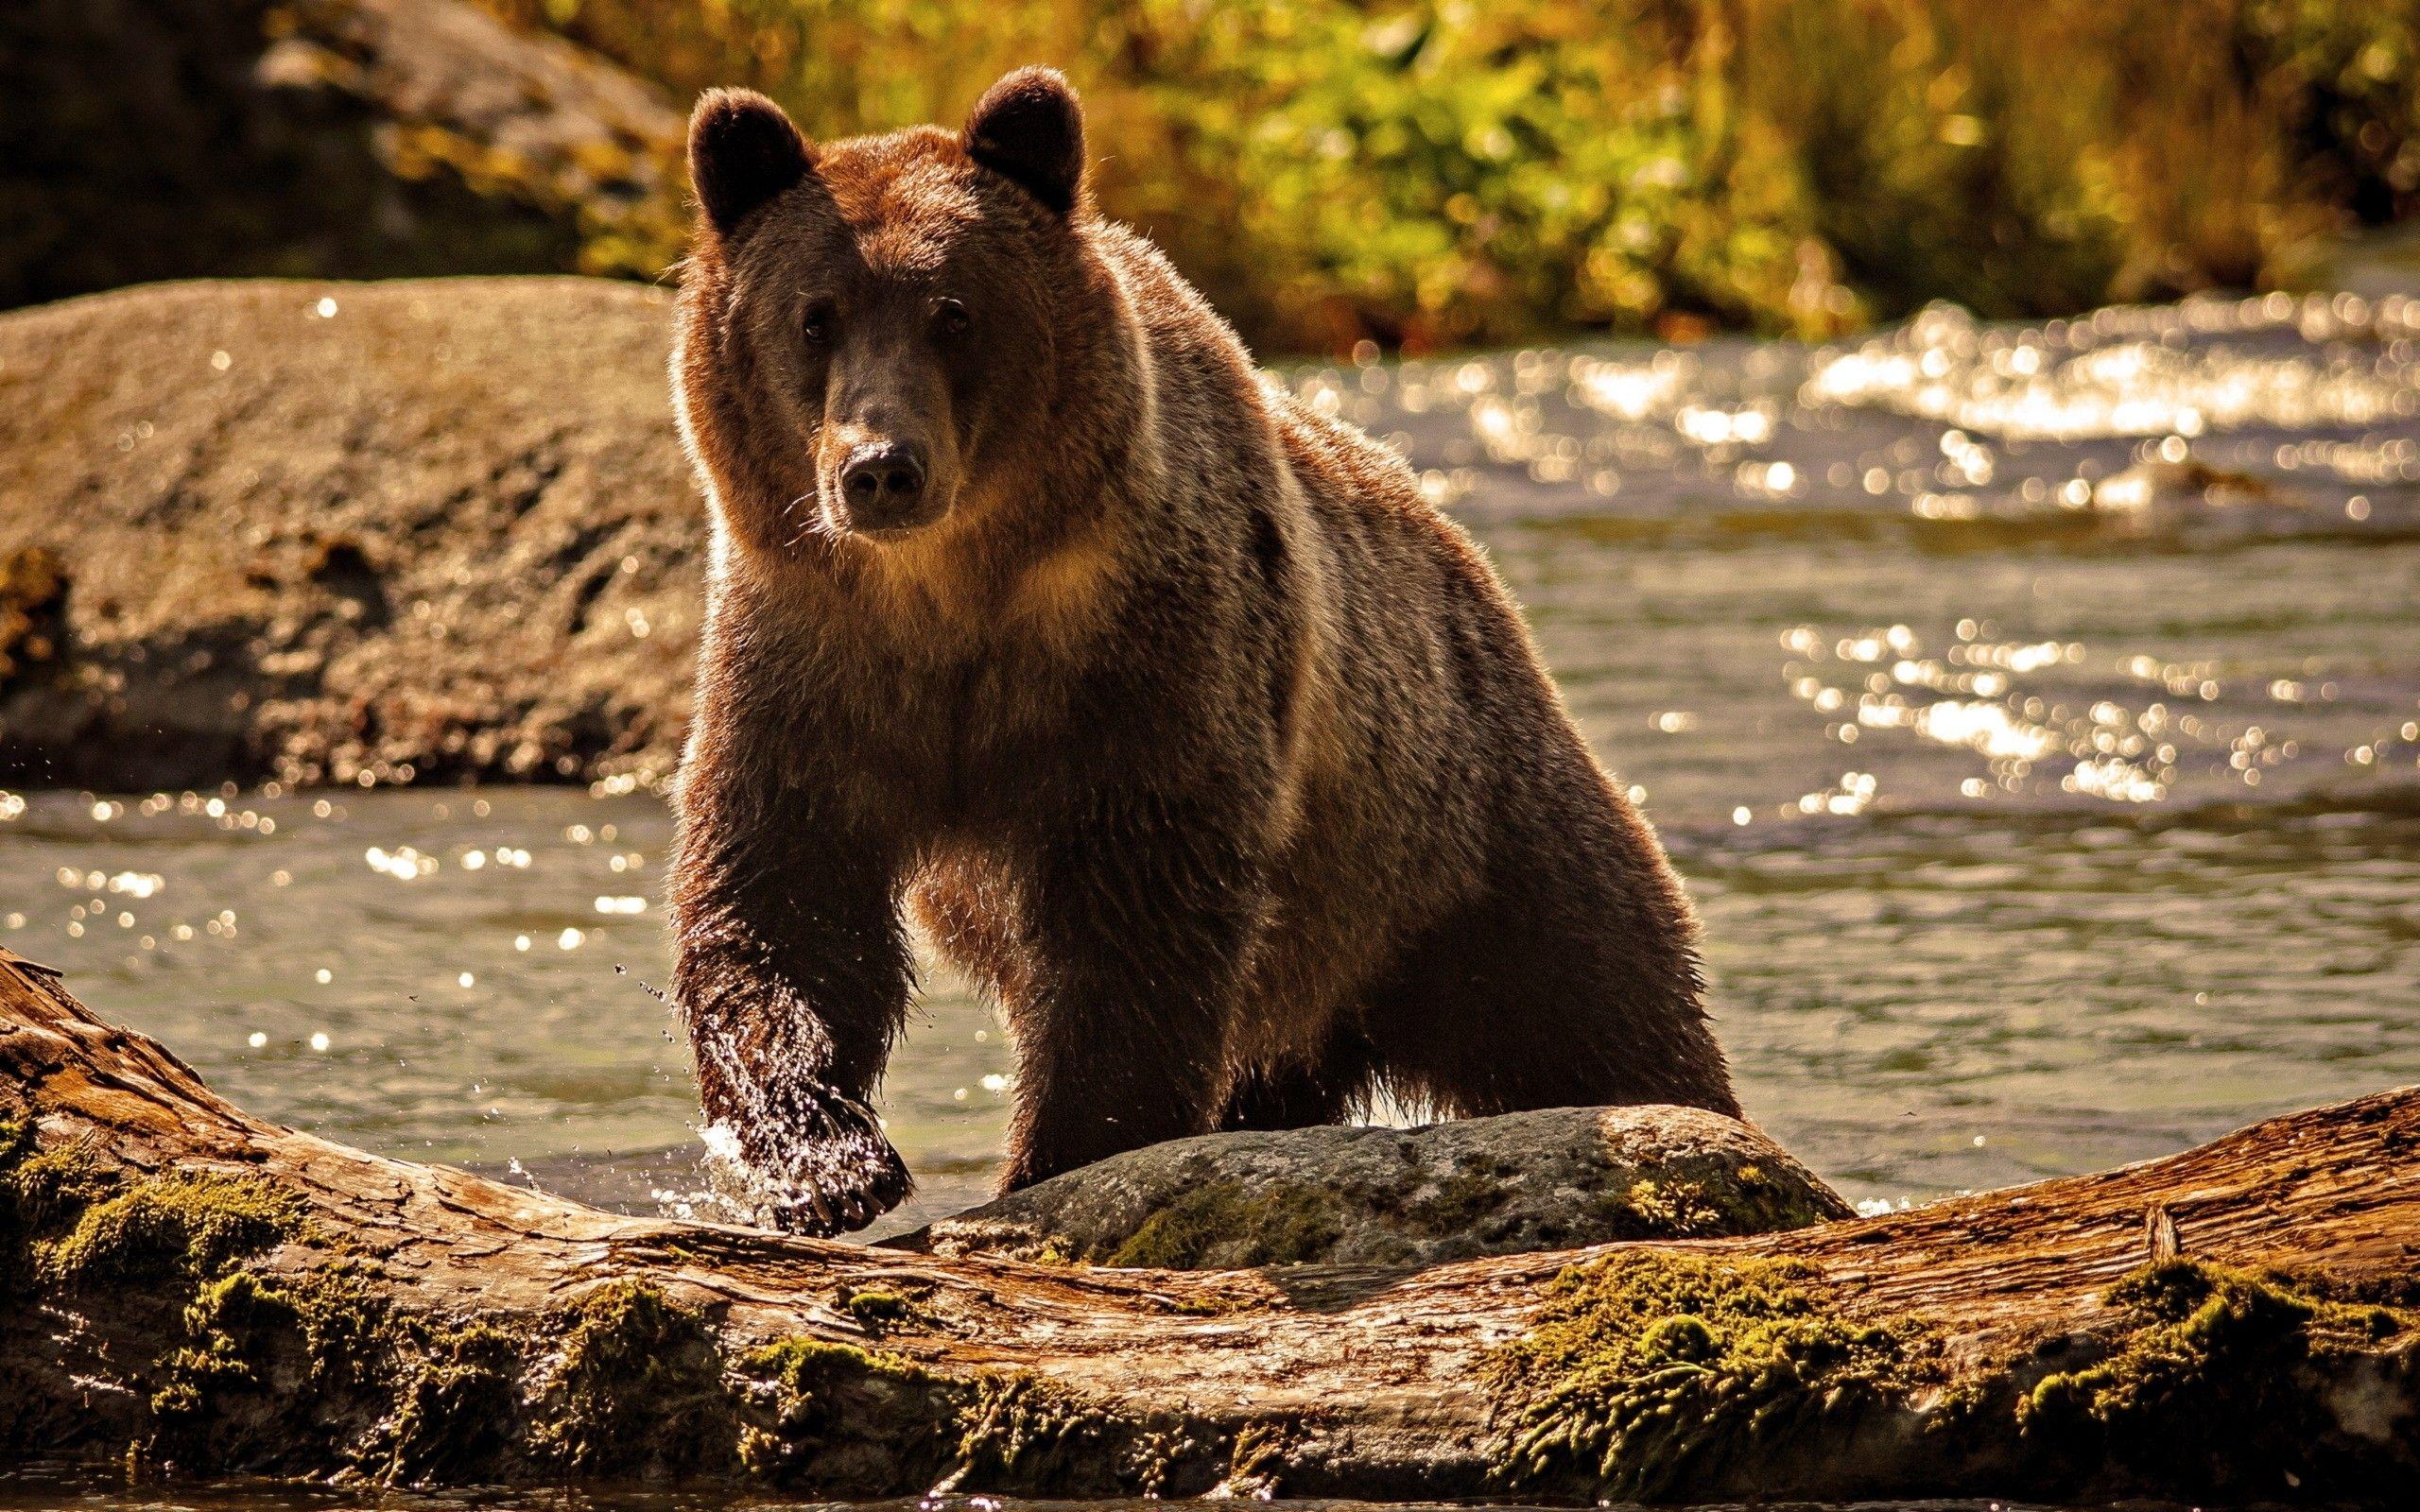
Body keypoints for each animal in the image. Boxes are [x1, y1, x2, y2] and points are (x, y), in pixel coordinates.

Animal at [667, 67, 1740, 1236]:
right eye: (813, 316)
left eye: (952, 311)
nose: (880, 468)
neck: (951, 596)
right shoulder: (810, 657)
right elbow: (784, 895)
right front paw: (821, 1160)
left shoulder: (1150, 657)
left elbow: (1136, 919)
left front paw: (1059, 1154)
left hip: (1460, 833)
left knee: (1596, 1003)